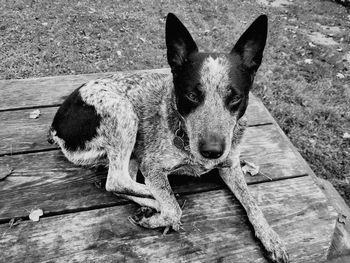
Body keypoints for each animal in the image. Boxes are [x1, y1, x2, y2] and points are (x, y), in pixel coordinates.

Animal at [48, 12, 290, 263]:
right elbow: (174, 209)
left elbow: (252, 202)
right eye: (191, 95)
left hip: (133, 150)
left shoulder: (230, 166)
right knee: (117, 181)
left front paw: (271, 237)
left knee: (120, 184)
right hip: (123, 113)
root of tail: (55, 126)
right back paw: (156, 200)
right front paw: (162, 211)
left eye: (235, 98)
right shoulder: (152, 166)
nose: (212, 151)